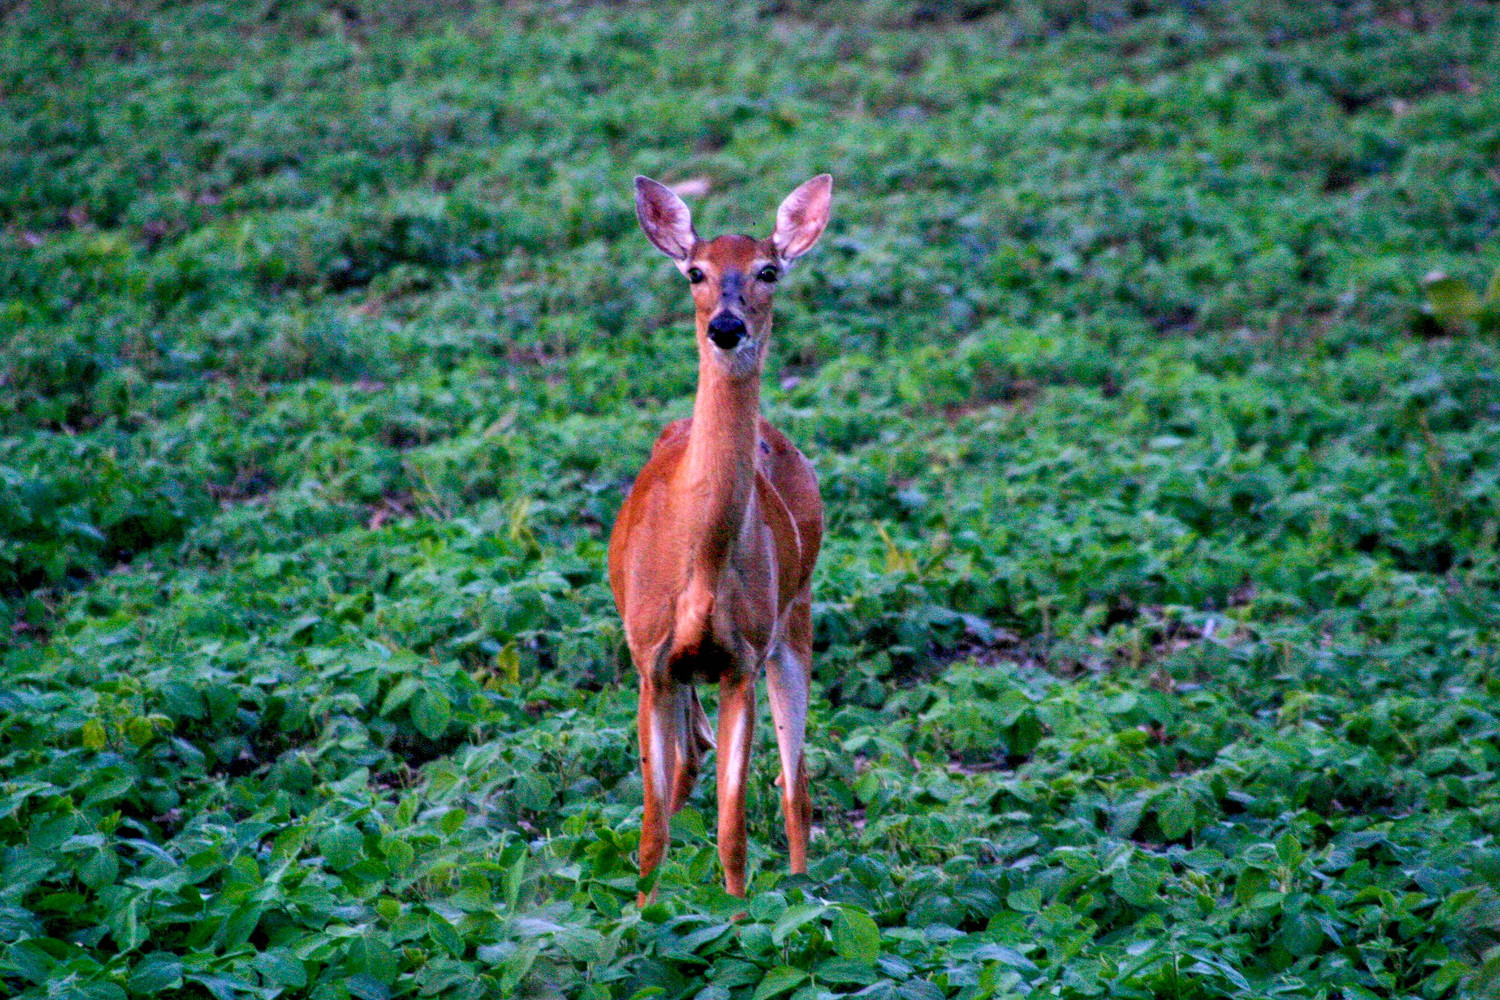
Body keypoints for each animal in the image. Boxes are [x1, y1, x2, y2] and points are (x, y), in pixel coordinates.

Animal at [606, 176, 834, 905]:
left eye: (768, 270)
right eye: (695, 272)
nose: (726, 326)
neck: (700, 564)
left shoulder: (742, 663)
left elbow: (733, 833)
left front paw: (737, 922)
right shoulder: (650, 659)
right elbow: (652, 834)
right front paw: (640, 919)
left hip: (795, 620)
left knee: (796, 789)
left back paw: (804, 893)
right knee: (691, 762)